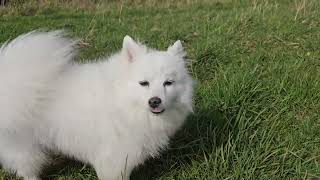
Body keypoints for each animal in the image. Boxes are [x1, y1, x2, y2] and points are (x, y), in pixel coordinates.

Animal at [0, 31, 194, 180]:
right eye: (143, 83)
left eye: (168, 83)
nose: (155, 100)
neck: (122, 101)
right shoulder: (114, 158)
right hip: (24, 147)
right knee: (26, 169)